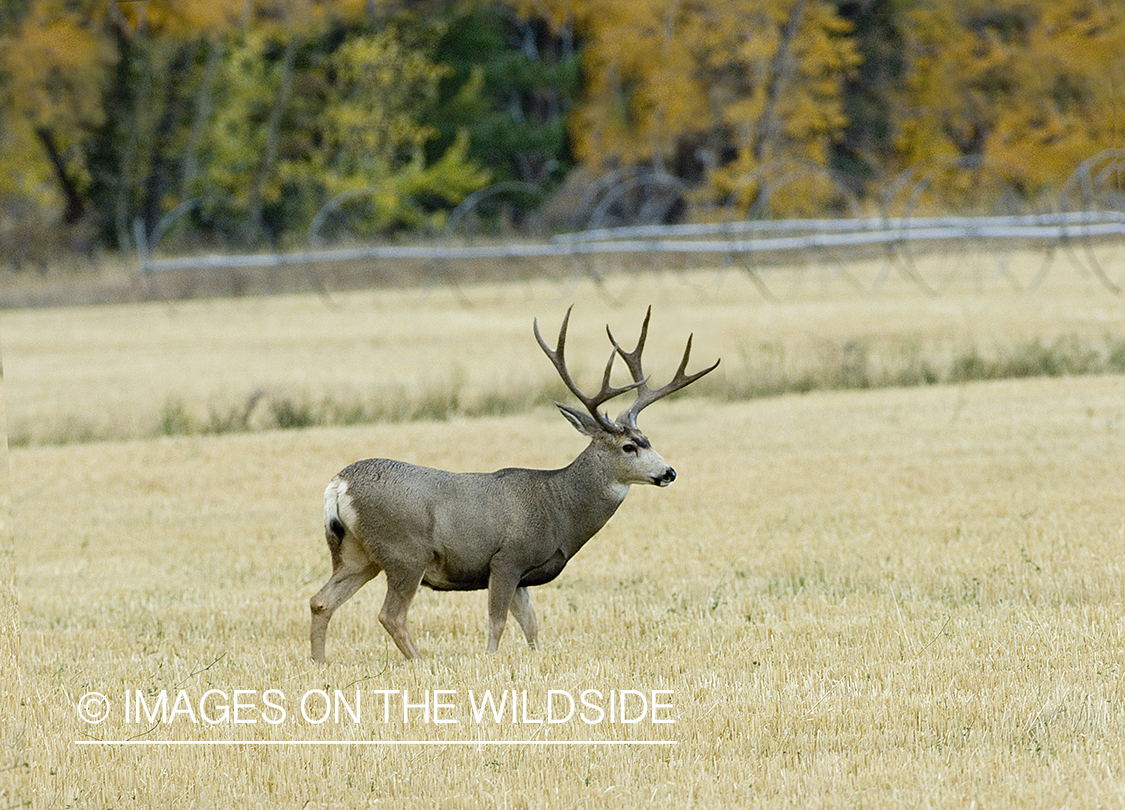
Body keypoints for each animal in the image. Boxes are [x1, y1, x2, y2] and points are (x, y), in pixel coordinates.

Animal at [309, 306, 719, 662]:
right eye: (629, 446)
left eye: (648, 438)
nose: (669, 472)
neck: (558, 507)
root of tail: (338, 485)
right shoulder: (506, 558)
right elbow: (497, 622)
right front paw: (491, 661)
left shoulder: (524, 573)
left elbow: (531, 625)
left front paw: (535, 659)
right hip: (405, 553)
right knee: (390, 614)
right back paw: (421, 662)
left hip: (355, 553)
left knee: (320, 600)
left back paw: (319, 664)